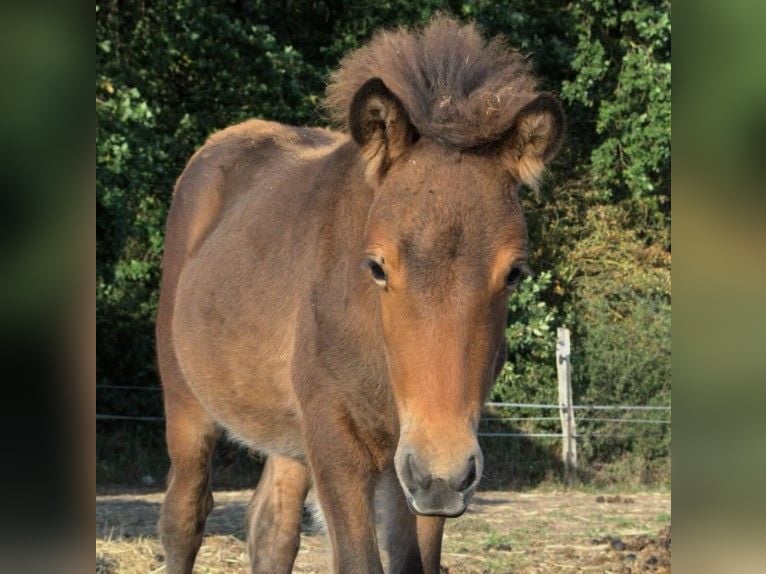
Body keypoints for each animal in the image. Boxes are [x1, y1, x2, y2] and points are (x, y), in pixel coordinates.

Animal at [156, 15, 564, 574]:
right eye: (376, 266)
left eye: (515, 273)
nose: (442, 474)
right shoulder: (338, 441)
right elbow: (357, 559)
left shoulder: (422, 468)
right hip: (186, 402)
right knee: (185, 515)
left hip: (297, 438)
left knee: (272, 527)